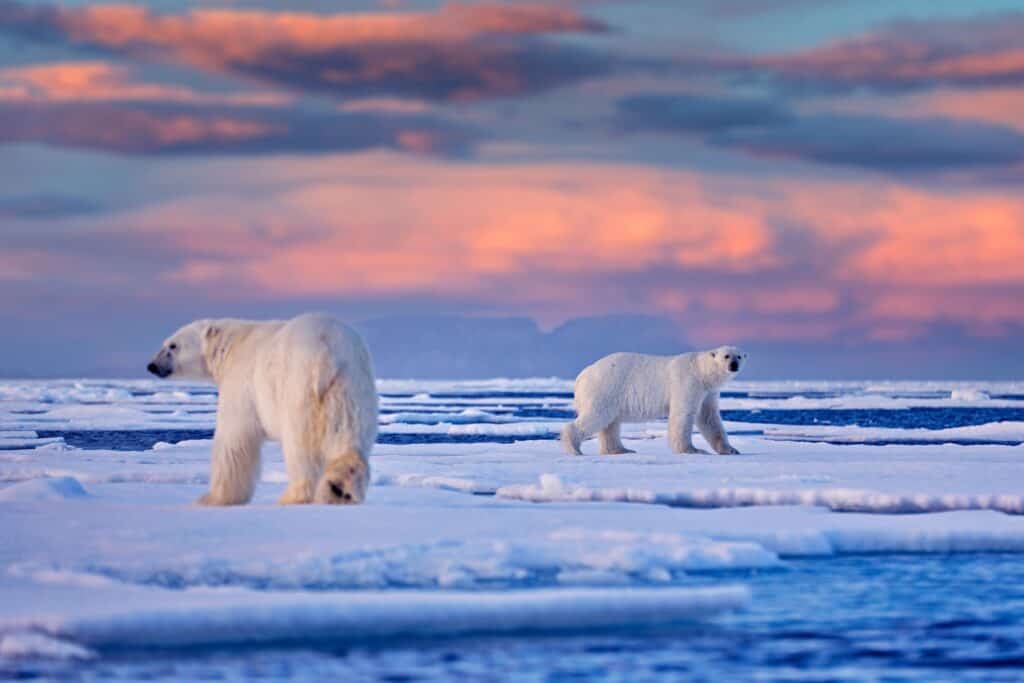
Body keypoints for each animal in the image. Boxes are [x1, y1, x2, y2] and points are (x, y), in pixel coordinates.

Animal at [146, 313, 378, 505]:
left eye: (173, 345)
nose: (152, 365)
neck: (230, 346)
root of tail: (327, 352)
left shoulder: (241, 382)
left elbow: (234, 439)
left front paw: (212, 498)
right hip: (350, 387)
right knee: (348, 435)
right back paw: (339, 489)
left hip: (297, 388)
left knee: (300, 447)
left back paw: (293, 496)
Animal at [561, 350, 745, 456]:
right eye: (726, 356)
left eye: (739, 356)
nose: (734, 365)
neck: (700, 370)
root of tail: (582, 375)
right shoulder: (687, 382)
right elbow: (683, 414)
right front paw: (692, 450)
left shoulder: (708, 392)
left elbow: (709, 418)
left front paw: (731, 449)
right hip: (605, 388)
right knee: (597, 416)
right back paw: (574, 449)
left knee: (610, 424)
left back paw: (621, 450)